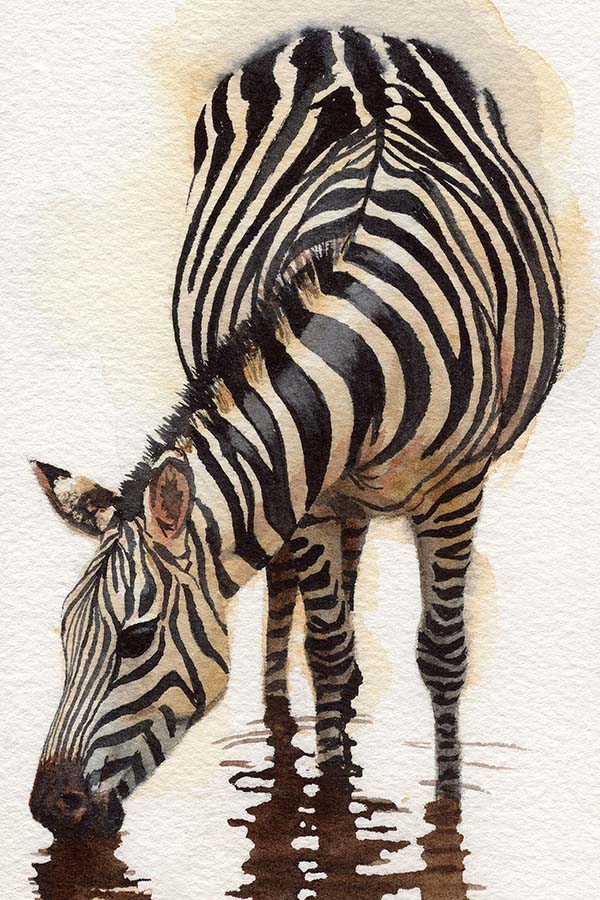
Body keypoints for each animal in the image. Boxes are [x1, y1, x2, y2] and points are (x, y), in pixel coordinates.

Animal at [30, 27, 563, 838]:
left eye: (136, 639)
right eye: (63, 636)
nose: (48, 809)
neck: (368, 346)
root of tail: (348, 31)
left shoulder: (457, 487)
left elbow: (442, 656)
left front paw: (442, 807)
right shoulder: (303, 493)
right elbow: (329, 653)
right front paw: (333, 799)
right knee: (295, 601)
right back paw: (280, 714)